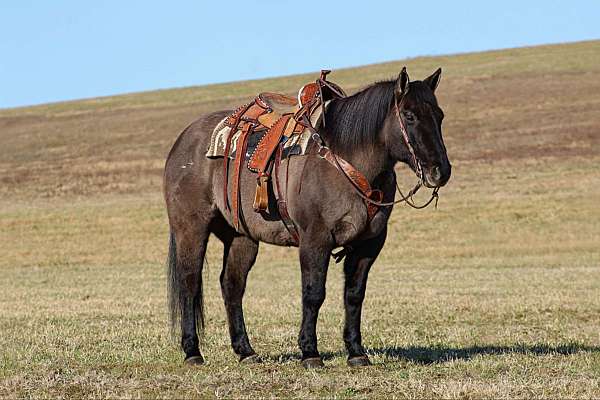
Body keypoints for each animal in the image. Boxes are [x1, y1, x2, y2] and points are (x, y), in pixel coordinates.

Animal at [164, 66, 450, 368]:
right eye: (409, 115)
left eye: (439, 115)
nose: (440, 171)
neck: (347, 159)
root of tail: (184, 140)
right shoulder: (315, 239)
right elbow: (313, 293)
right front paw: (310, 352)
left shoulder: (368, 244)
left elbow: (354, 295)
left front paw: (356, 352)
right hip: (191, 230)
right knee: (190, 283)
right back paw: (192, 351)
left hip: (241, 237)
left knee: (232, 285)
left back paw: (246, 351)